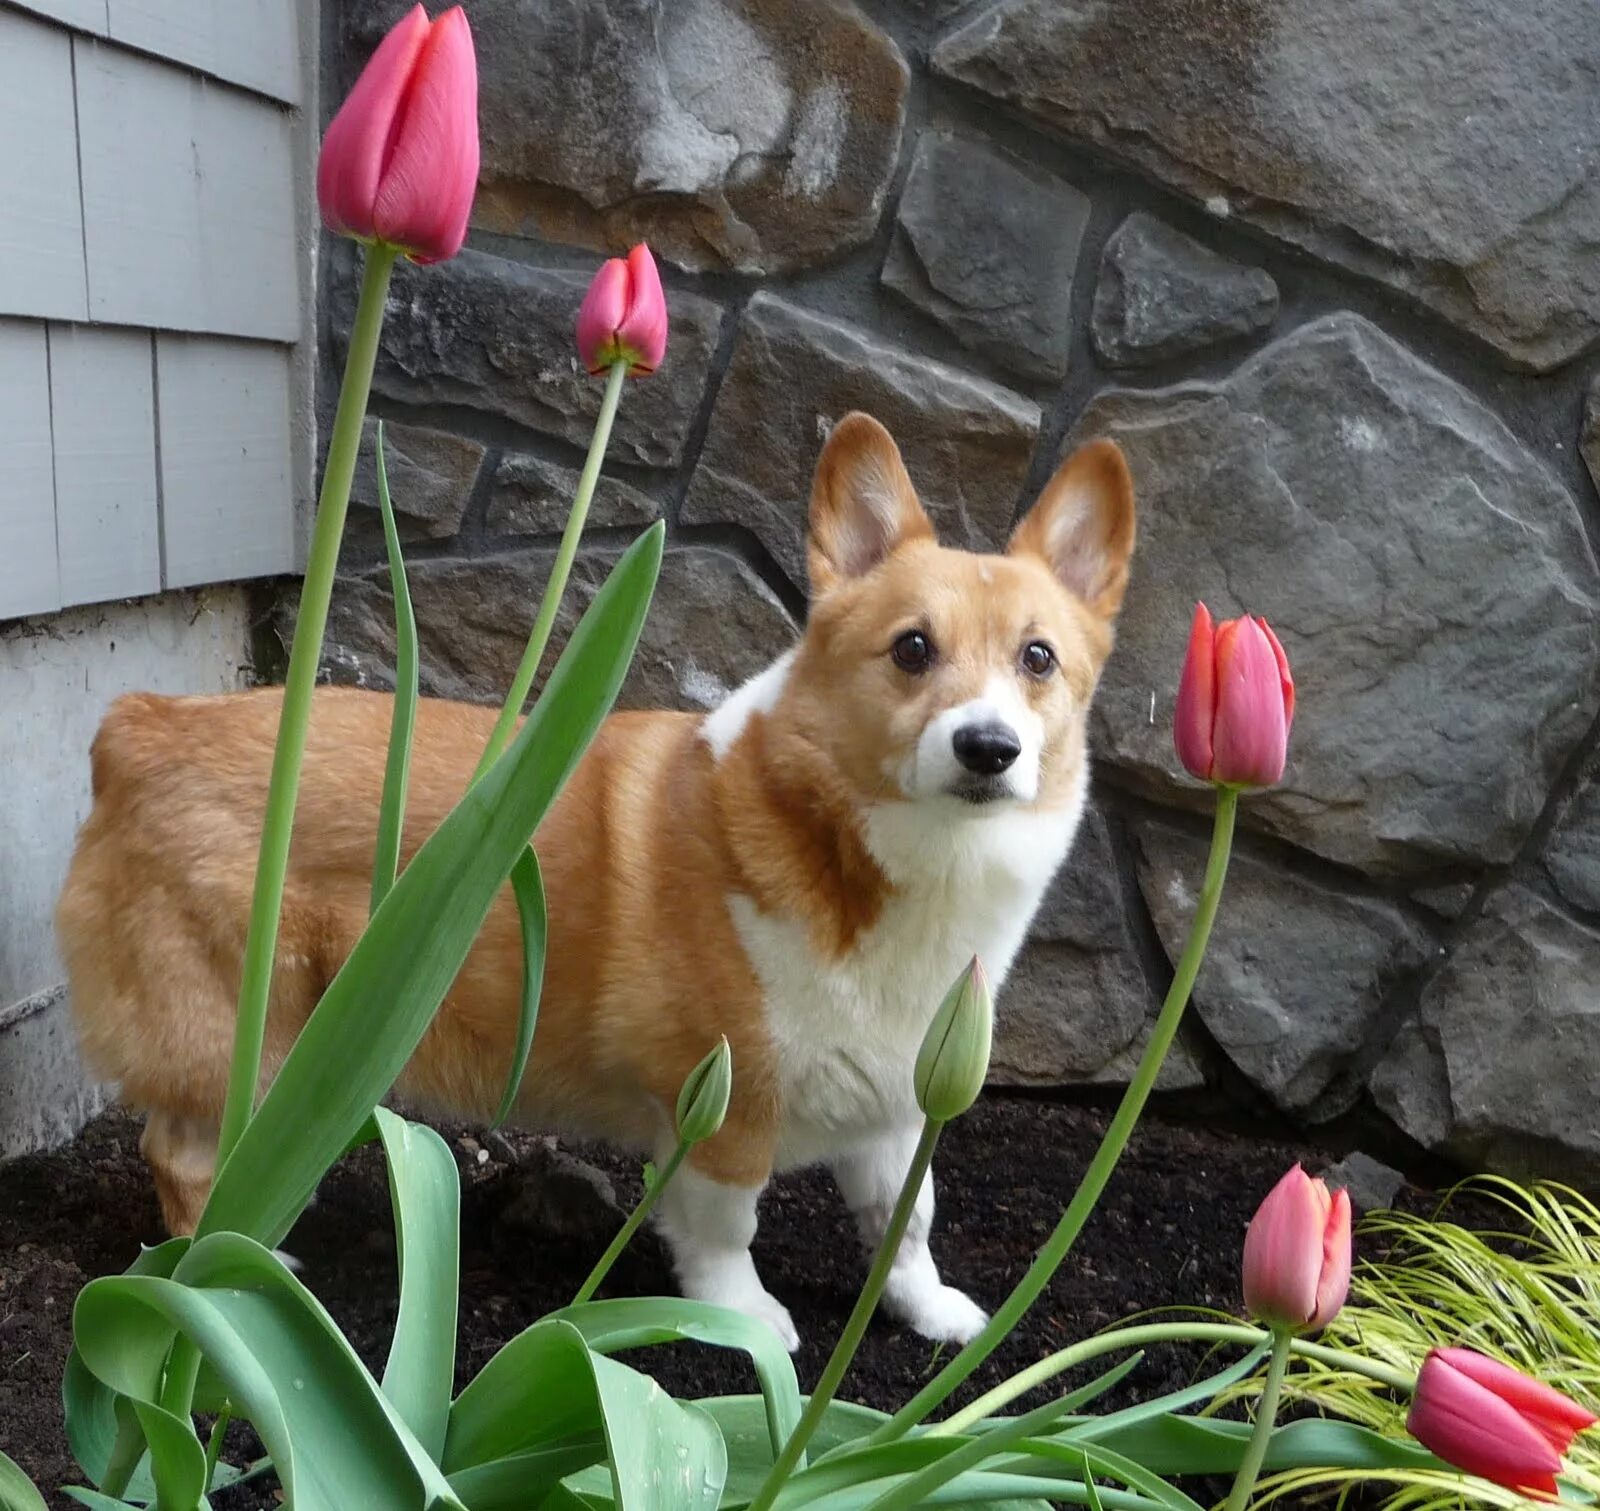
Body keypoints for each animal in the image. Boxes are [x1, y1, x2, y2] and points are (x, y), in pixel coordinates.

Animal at [56, 409, 1132, 1344]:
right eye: (912, 648)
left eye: (1038, 658)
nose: (988, 747)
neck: (897, 861)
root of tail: (139, 724)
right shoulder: (724, 1095)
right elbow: (726, 1223)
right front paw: (744, 1321)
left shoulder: (901, 1102)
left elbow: (906, 1219)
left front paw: (931, 1310)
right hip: (250, 1034)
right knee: (180, 1153)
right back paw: (233, 1270)